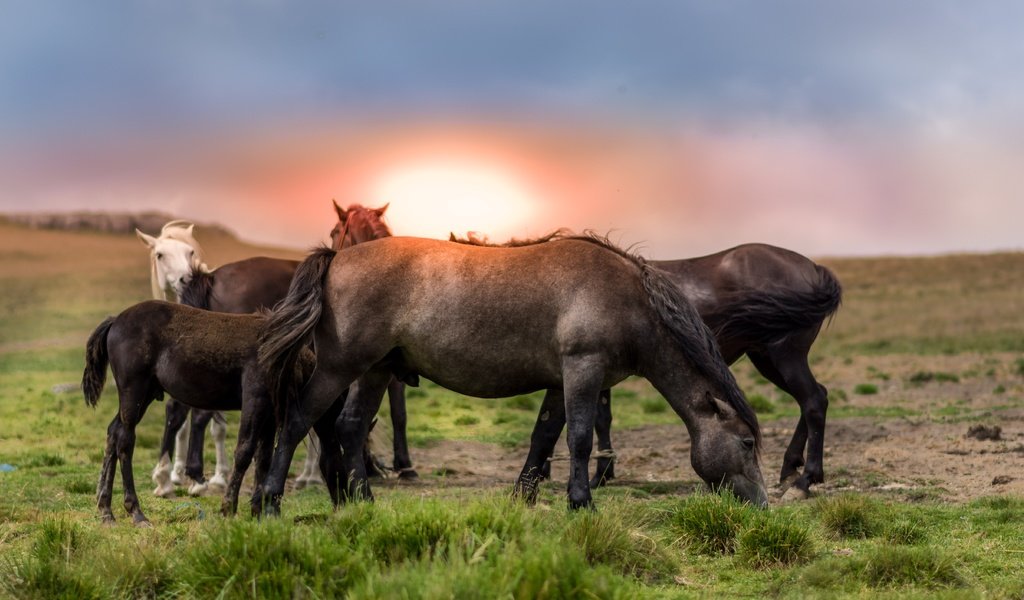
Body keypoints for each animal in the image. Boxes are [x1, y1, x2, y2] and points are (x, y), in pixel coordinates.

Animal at [256, 233, 770, 513]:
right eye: (746, 443)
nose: (763, 505)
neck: (626, 299)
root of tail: (336, 258)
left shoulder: (561, 382)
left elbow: (544, 438)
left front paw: (525, 499)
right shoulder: (582, 370)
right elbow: (580, 438)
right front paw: (582, 502)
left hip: (376, 370)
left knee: (349, 426)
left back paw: (363, 501)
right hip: (341, 367)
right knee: (298, 421)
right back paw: (268, 502)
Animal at [456, 233, 839, 495]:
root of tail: (814, 268)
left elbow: (594, 421)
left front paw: (597, 474)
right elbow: (599, 418)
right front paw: (599, 471)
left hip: (782, 356)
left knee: (813, 400)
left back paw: (805, 478)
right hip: (767, 360)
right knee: (813, 398)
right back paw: (791, 469)